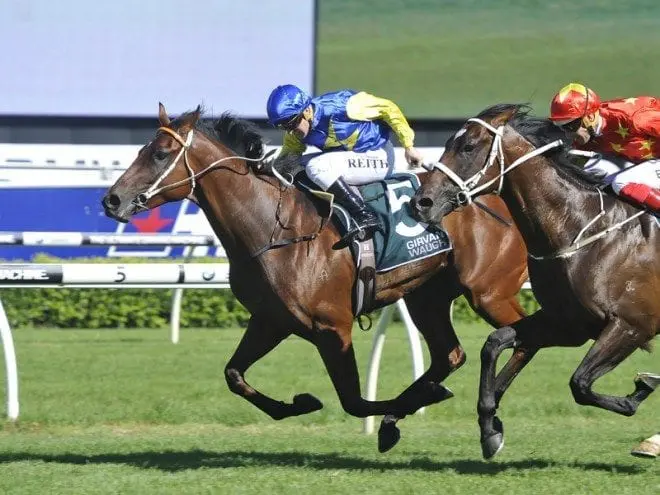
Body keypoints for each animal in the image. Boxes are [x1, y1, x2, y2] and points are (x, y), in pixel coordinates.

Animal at [100, 103, 528, 454]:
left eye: (159, 154)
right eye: (141, 151)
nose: (111, 200)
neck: (275, 230)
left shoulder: (331, 326)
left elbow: (353, 401)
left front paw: (408, 408)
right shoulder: (270, 320)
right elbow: (234, 374)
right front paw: (299, 404)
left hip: (488, 293)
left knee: (520, 338)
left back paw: (484, 421)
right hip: (427, 296)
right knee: (451, 354)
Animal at [416, 104, 656, 462]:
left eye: (468, 146)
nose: (422, 202)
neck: (580, 230)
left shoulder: (631, 325)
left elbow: (580, 383)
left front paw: (640, 391)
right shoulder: (569, 323)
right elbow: (496, 343)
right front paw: (490, 428)